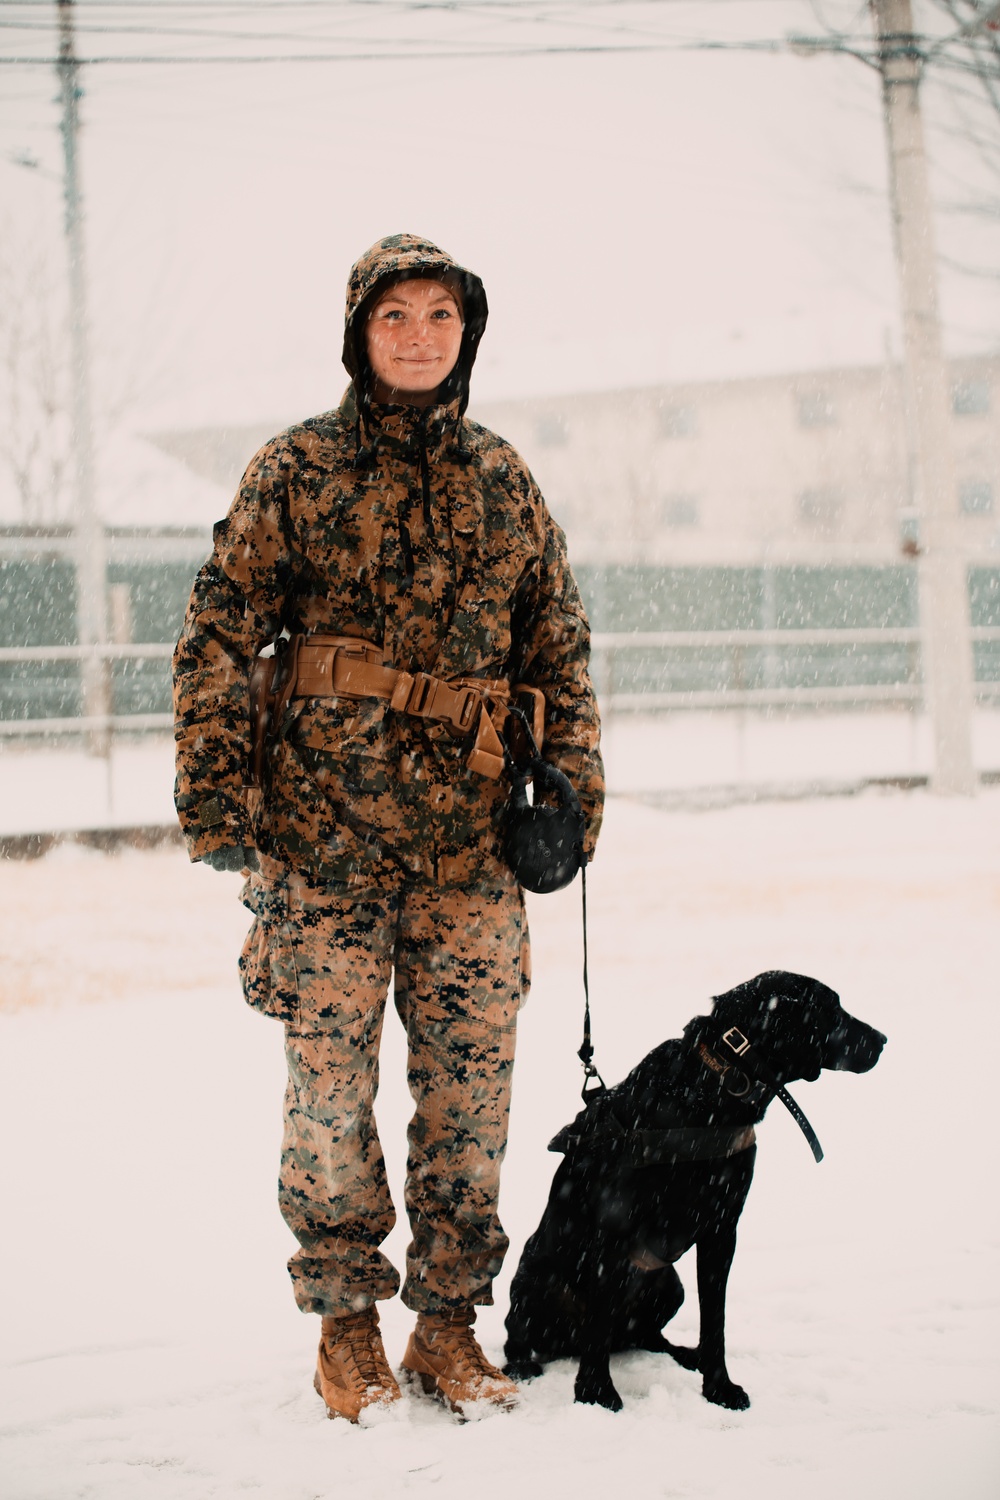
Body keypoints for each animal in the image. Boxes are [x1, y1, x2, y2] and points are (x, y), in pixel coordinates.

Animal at [503, 972, 887, 1416]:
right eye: (831, 1010)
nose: (883, 1040)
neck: (715, 1086)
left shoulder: (722, 1229)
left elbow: (715, 1321)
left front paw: (718, 1388)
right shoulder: (612, 1230)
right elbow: (598, 1322)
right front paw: (595, 1393)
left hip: (669, 1285)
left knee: (642, 1336)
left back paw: (686, 1355)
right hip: (537, 1281)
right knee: (527, 1335)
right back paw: (522, 1366)